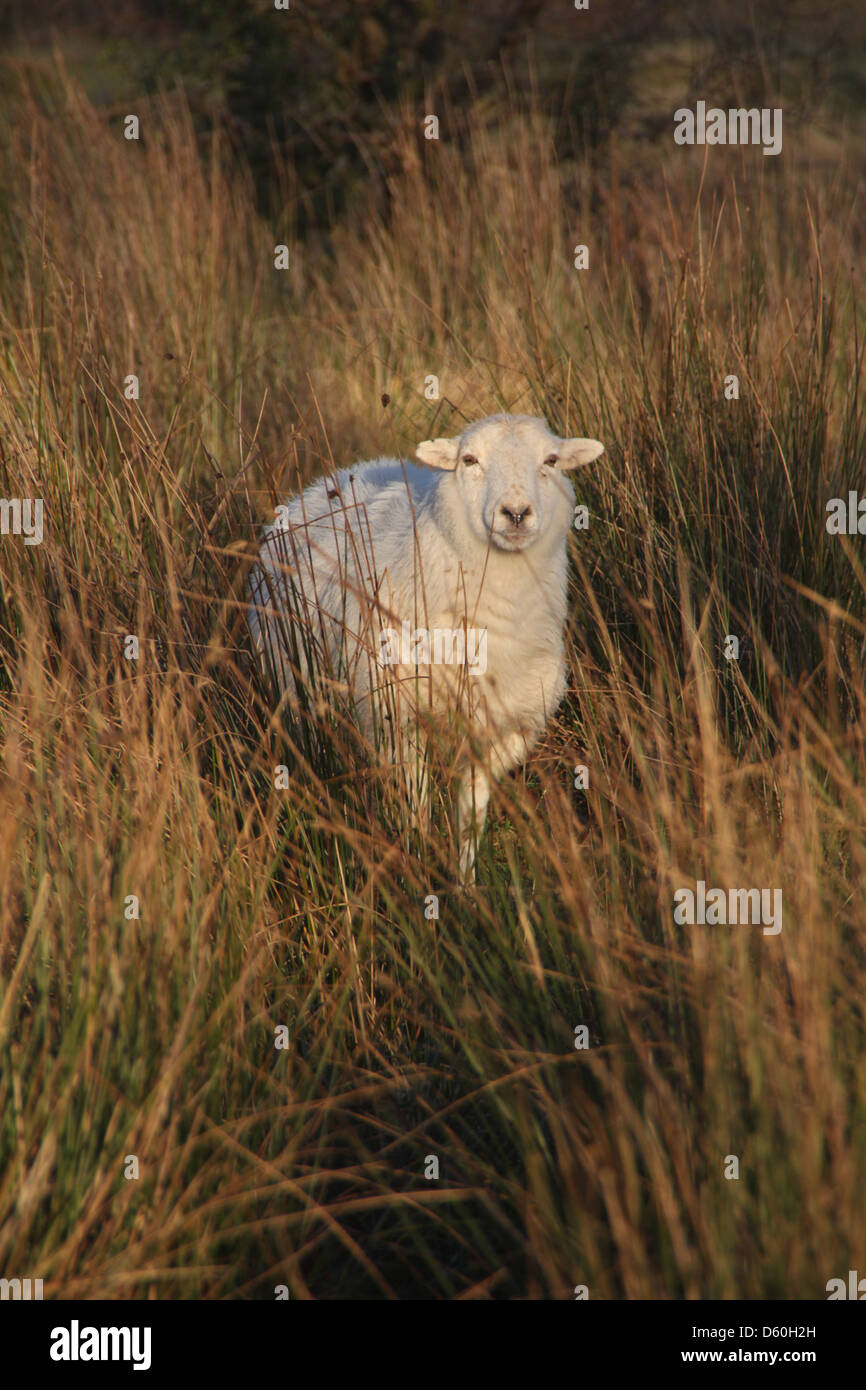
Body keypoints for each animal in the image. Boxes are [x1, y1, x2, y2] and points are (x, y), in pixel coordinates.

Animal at [248, 413, 605, 877]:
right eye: (469, 459)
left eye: (551, 460)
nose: (516, 513)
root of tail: (326, 481)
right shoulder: (397, 718)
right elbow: (413, 806)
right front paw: (417, 862)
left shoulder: (501, 728)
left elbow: (471, 815)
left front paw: (465, 881)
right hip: (293, 691)